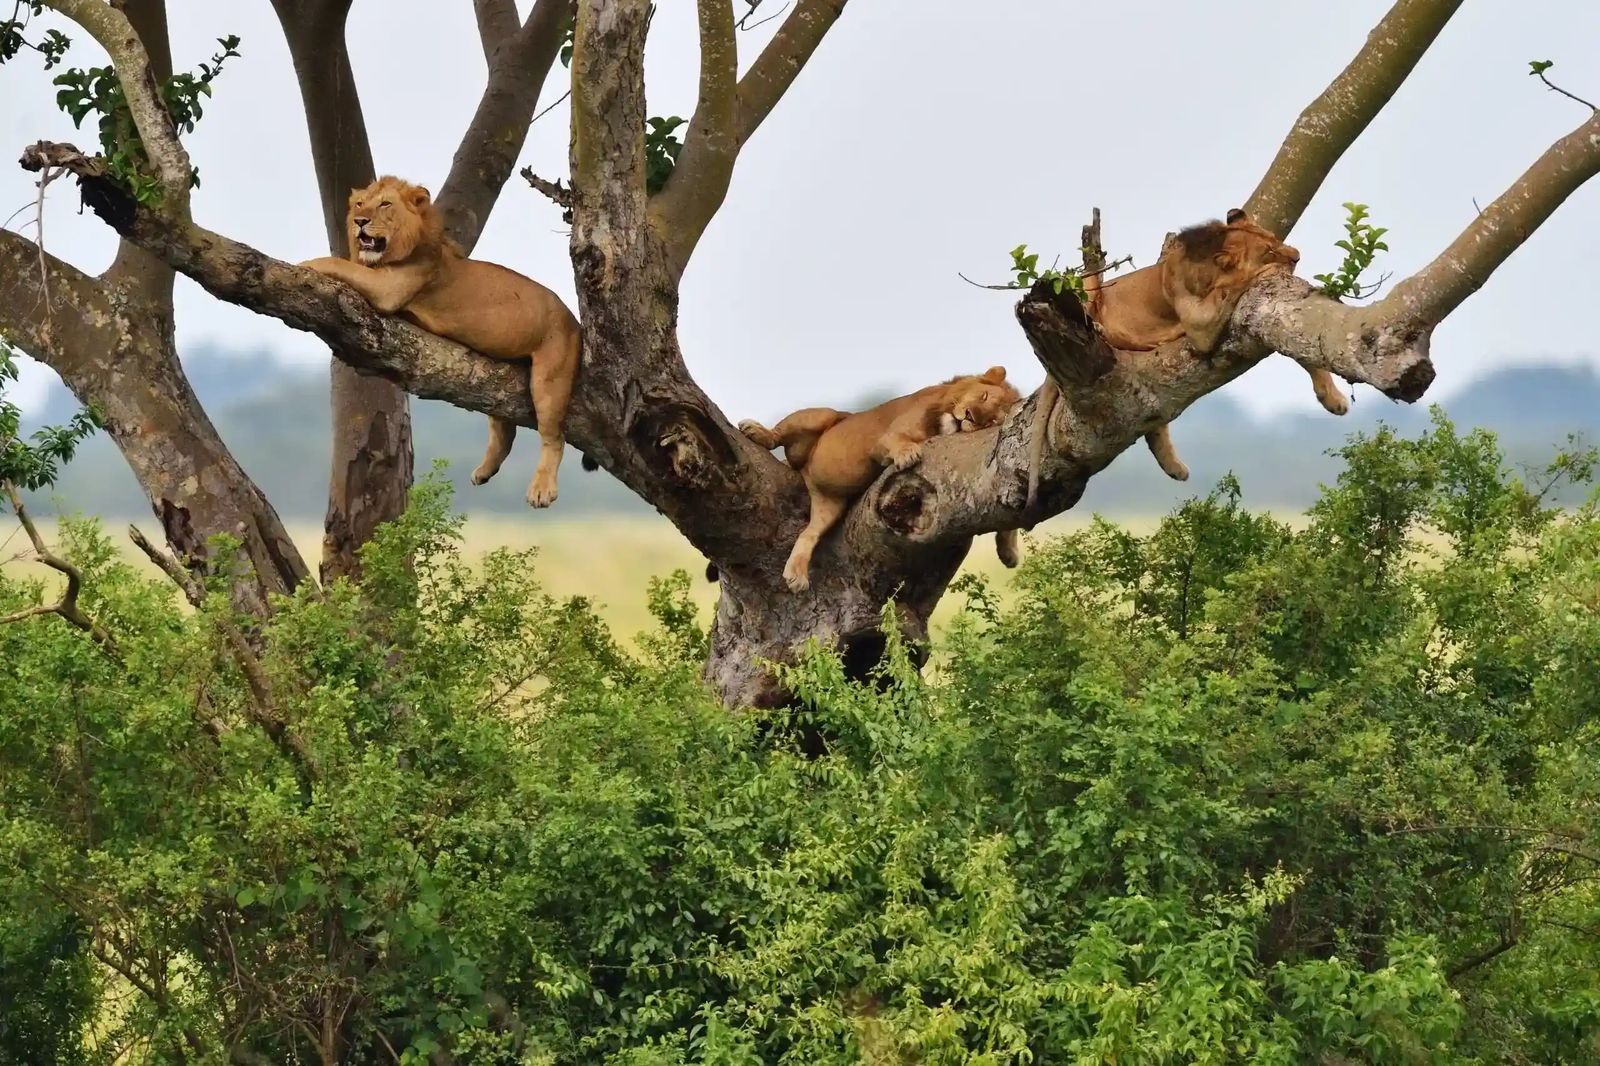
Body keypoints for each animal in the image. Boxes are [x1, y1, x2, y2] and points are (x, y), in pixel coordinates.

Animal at [300, 176, 581, 507]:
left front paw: (307, 263)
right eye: (359, 204)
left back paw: (541, 489)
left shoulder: (389, 288)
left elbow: (341, 264)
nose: (360, 221)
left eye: (385, 204)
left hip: (550, 377)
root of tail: (574, 320)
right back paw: (484, 471)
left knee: (553, 437)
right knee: (504, 430)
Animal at [740, 367, 1024, 593]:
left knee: (808, 534)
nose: (969, 416)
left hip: (830, 506)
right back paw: (756, 431)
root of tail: (805, 471)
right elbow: (898, 441)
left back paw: (796, 575)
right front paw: (908, 453)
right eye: (983, 396)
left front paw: (1009, 551)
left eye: (991, 420)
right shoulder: (885, 439)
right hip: (822, 416)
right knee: (779, 434)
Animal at [1027, 208, 1345, 506]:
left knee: (1153, 422)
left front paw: (1333, 399)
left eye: (1275, 239)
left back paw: (1175, 468)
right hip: (1083, 292)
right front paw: (1265, 271)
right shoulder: (1198, 325)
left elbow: (1304, 354)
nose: (1296, 256)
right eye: (1268, 250)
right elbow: (1237, 284)